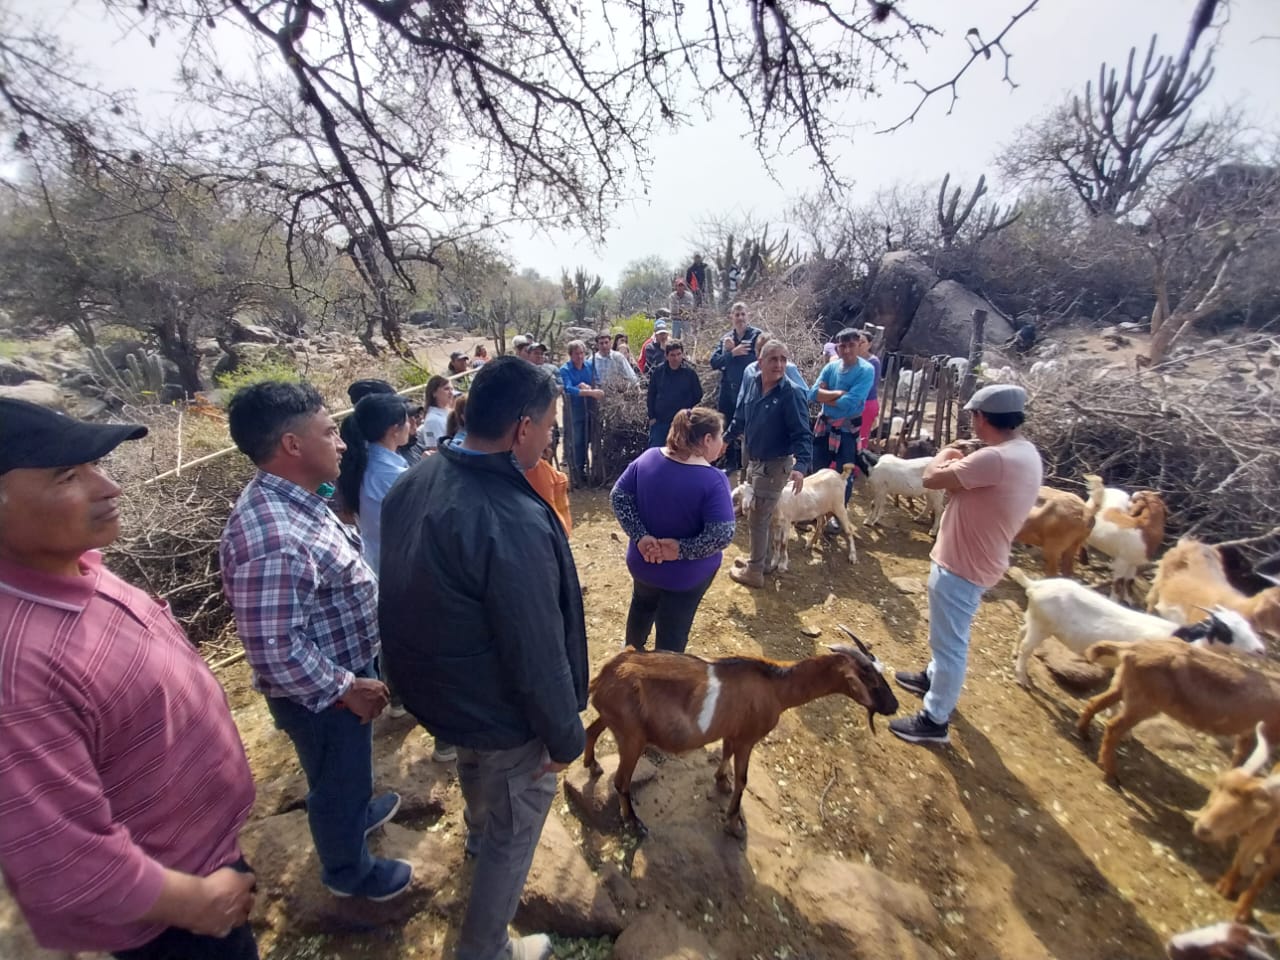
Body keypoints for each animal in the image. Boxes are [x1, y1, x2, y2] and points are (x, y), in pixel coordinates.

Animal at [583, 627, 901, 839]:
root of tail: (602, 677)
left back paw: (592, 764)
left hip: (616, 721)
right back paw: (633, 822)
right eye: (871, 680)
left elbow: (725, 755)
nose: (894, 705)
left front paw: (721, 781)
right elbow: (744, 779)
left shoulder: (731, 732)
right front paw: (734, 822)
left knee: (591, 729)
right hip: (632, 737)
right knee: (621, 781)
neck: (775, 687)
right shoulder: (748, 738)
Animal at [1008, 568, 1269, 686]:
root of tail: (1036, 586)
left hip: (1034, 619)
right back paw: (1022, 677)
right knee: (1027, 648)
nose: (1260, 650)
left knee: (1021, 632)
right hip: (1042, 626)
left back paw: (1014, 654)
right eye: (1227, 631)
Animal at [1080, 634, 1280, 783]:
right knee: (1114, 727)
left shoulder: (1249, 733)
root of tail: (1132, 648)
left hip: (1123, 684)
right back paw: (1112, 774)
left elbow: (1240, 759)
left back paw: (1084, 734)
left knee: (1095, 702)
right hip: (1144, 701)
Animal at [1192, 727, 1280, 926]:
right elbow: (1239, 860)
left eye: (1245, 810)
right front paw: (1224, 886)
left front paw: (1242, 912)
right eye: (1218, 786)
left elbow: (1260, 880)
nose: (1202, 828)